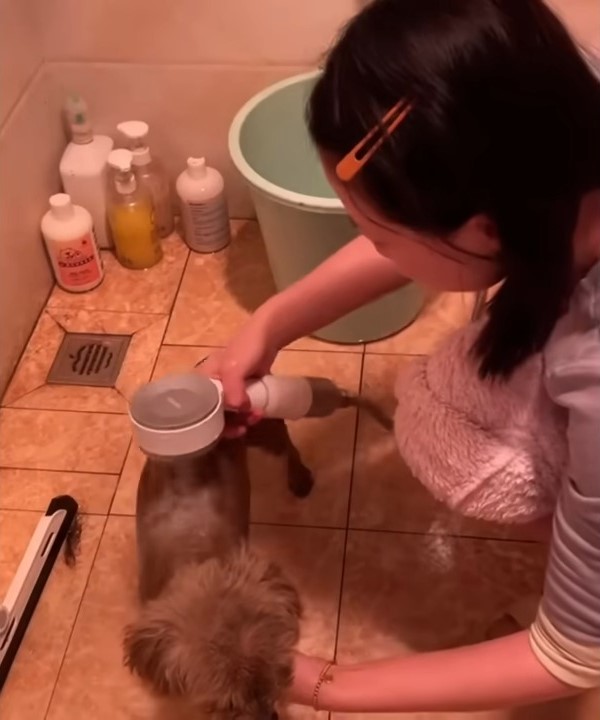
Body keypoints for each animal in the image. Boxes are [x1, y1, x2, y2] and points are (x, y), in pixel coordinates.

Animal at [121, 420, 310, 716]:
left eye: (279, 676)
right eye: (227, 704)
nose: (271, 716)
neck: (194, 556)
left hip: (264, 432)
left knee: (288, 445)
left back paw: (299, 477)